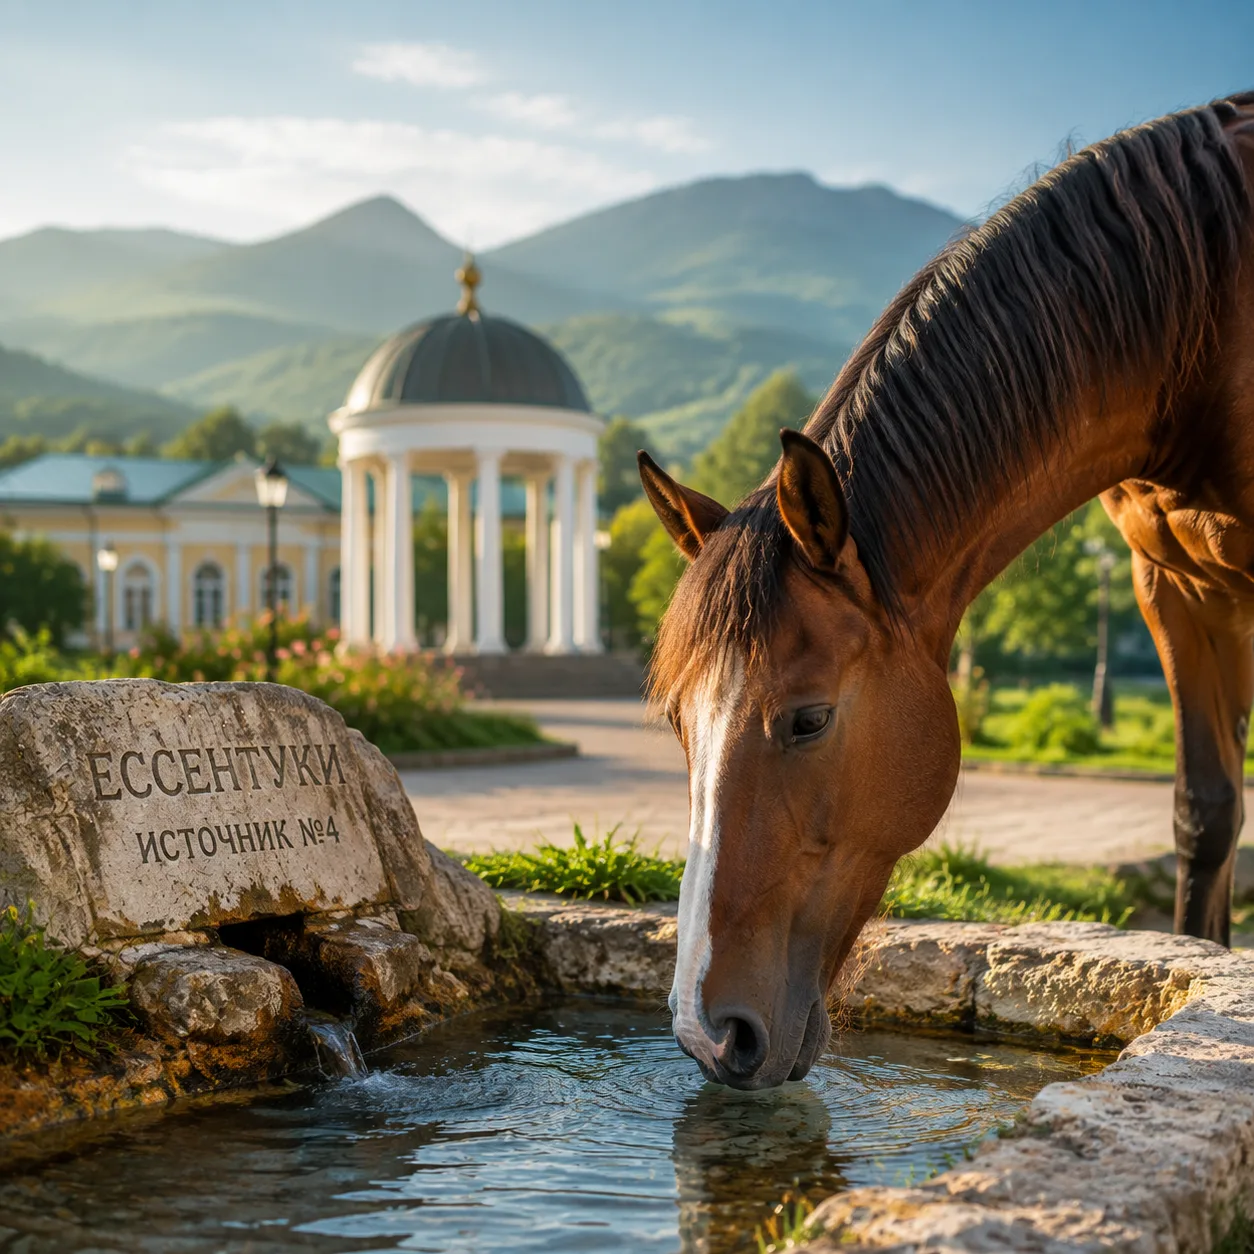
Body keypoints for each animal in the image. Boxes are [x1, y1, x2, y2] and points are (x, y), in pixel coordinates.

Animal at [637, 92, 1254, 1090]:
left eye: (809, 719)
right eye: (677, 723)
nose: (707, 1032)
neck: (1209, 313)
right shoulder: (1172, 586)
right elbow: (1205, 815)